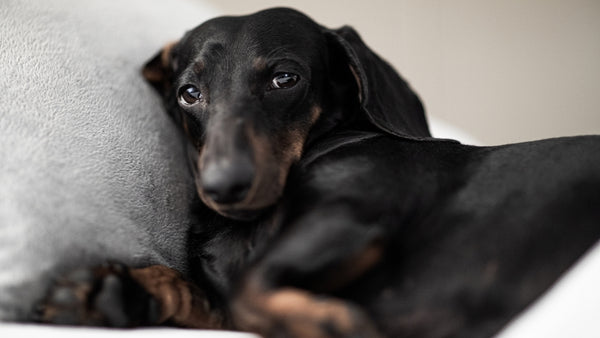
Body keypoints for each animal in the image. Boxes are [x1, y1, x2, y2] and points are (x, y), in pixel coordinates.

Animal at [37, 7, 600, 338]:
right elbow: (206, 293)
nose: (223, 186)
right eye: (188, 93)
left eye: (285, 78)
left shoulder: (351, 213)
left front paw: (331, 321)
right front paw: (111, 292)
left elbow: (248, 290)